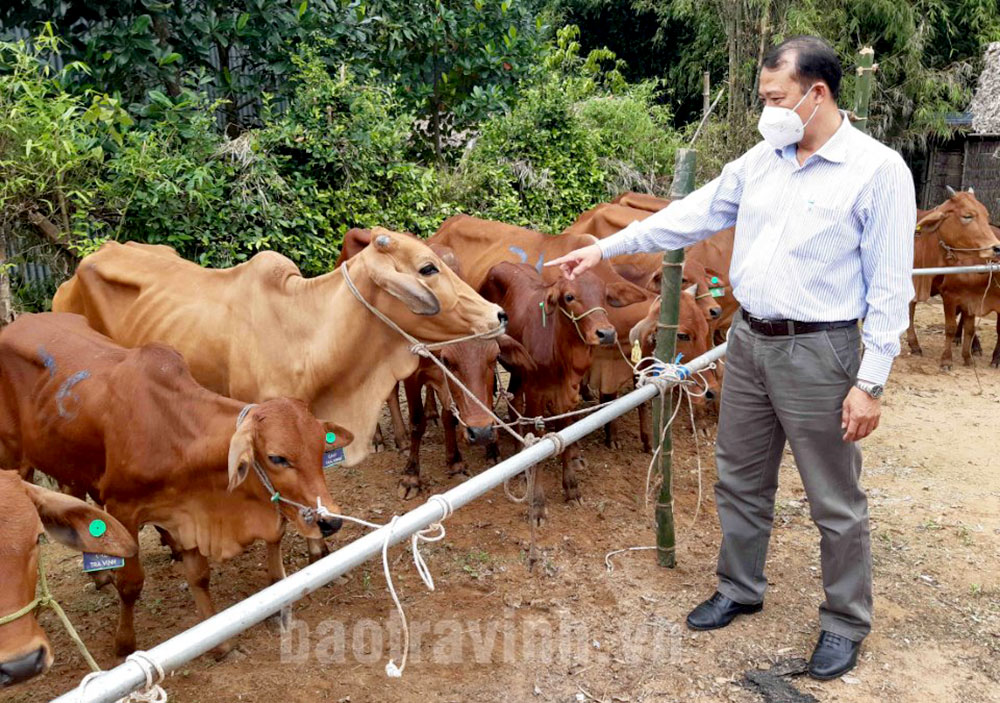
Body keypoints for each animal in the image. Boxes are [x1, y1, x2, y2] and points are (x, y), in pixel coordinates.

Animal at [0, 316, 352, 656]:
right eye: (277, 458)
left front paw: (218, 642)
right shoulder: (123, 508)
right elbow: (131, 584)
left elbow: (199, 576)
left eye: (320, 449)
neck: (171, 430)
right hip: (16, 461)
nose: (330, 520)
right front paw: (124, 644)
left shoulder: (188, 509)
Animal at [480, 262, 644, 520]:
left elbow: (565, 437)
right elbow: (537, 446)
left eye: (604, 296)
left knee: (514, 401)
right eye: (569, 297)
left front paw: (572, 488)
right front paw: (537, 503)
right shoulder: (536, 395)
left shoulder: (567, 398)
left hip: (518, 371)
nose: (606, 334)